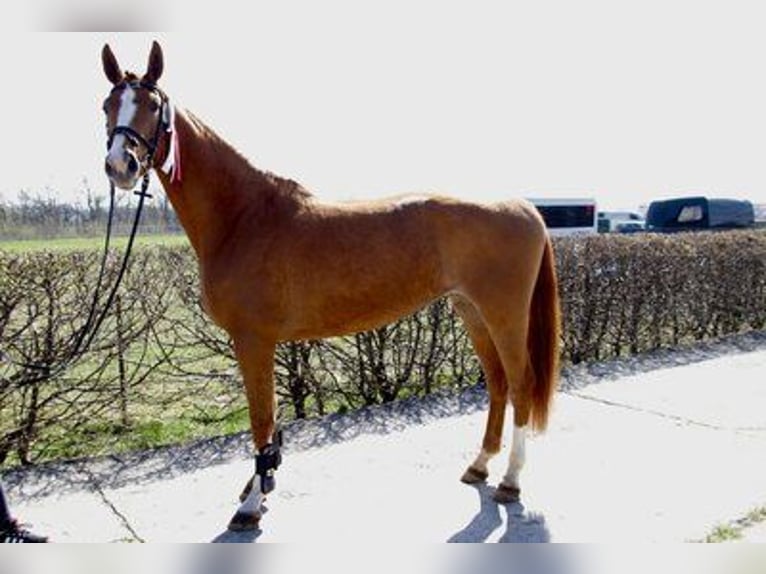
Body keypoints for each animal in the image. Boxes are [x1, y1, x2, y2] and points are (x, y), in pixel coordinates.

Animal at [100, 41, 561, 531]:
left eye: (152, 106)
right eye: (107, 105)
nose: (120, 165)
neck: (243, 216)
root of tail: (523, 207)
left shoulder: (253, 340)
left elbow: (261, 419)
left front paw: (251, 504)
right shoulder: (261, 343)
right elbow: (270, 419)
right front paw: (261, 486)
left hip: (504, 314)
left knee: (521, 384)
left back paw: (510, 481)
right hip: (470, 310)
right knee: (497, 383)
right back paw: (479, 465)